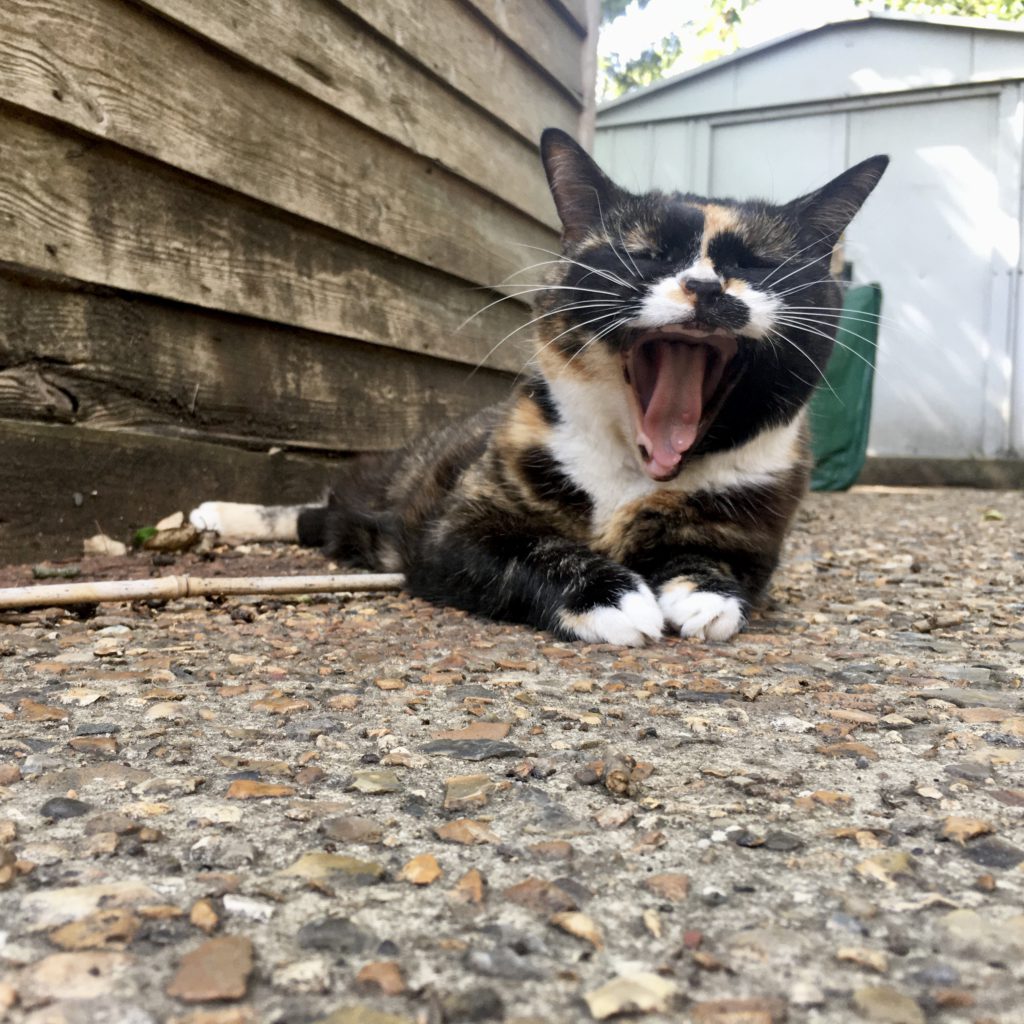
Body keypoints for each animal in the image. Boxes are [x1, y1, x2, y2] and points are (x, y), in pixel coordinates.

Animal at [192, 123, 888, 643]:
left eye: (756, 264)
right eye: (647, 254)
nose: (707, 286)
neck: (633, 472)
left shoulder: (755, 527)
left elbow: (718, 562)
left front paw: (704, 593)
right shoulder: (455, 530)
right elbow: (531, 547)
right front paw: (612, 596)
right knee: (316, 514)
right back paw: (216, 513)